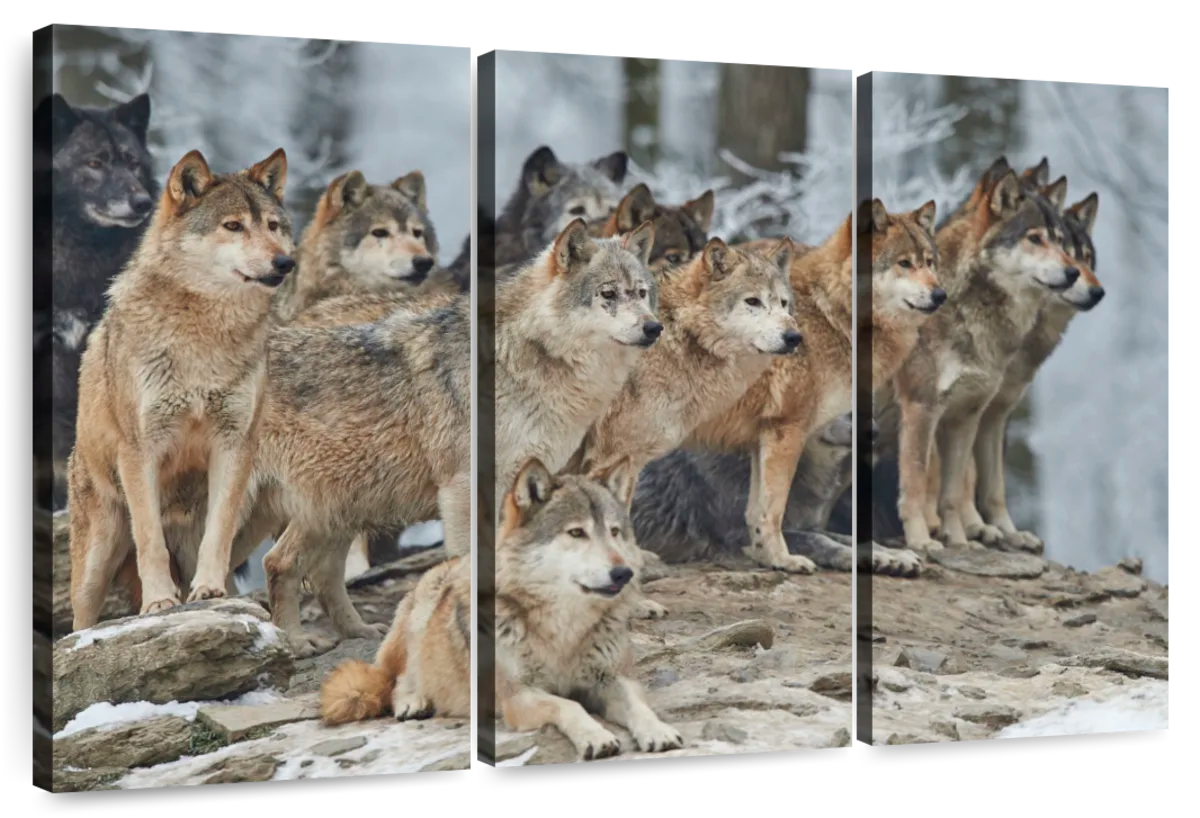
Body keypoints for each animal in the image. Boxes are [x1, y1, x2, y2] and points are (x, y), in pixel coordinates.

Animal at [68, 148, 295, 631]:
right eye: (233, 226)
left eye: (272, 225)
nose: (285, 263)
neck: (203, 338)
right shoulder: (141, 450)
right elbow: (150, 540)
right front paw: (158, 603)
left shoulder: (235, 443)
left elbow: (218, 533)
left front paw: (208, 589)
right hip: (97, 557)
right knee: (81, 621)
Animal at [892, 167, 1081, 553]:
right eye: (1034, 239)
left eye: (1060, 242)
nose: (1074, 273)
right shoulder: (921, 408)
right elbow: (917, 483)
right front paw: (921, 540)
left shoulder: (970, 414)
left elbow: (956, 491)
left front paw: (960, 541)